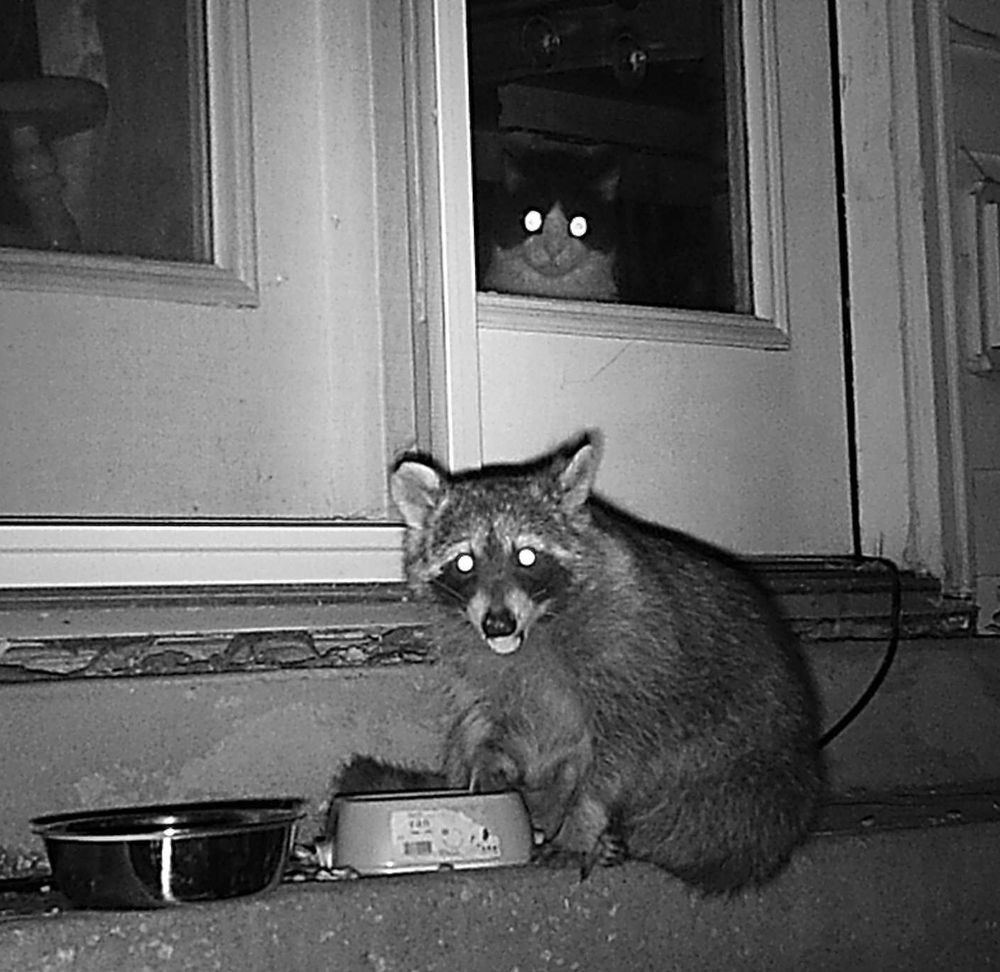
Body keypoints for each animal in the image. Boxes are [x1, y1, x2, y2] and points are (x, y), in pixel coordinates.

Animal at [354, 432, 821, 894]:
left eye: (526, 556)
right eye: (465, 562)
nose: (498, 623)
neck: (535, 627)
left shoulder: (630, 651)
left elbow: (617, 758)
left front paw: (582, 824)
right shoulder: (483, 665)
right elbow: (493, 722)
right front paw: (490, 766)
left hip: (748, 782)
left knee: (707, 825)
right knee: (466, 730)